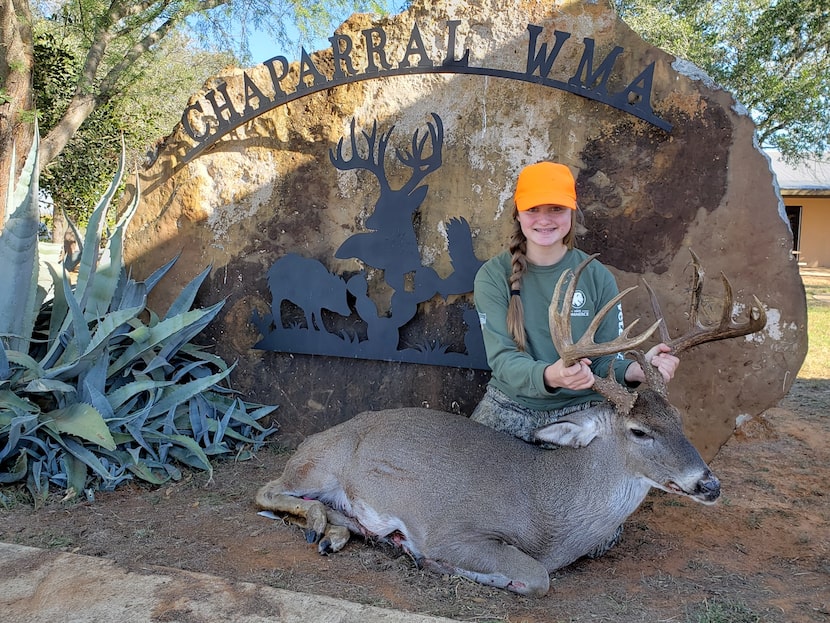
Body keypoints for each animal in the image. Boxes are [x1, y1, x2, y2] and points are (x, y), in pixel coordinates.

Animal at [256, 251, 772, 596]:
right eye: (639, 432)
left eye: (679, 419)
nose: (709, 484)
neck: (550, 513)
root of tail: (316, 439)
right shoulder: (451, 529)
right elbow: (536, 577)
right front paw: (431, 562)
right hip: (319, 463)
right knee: (268, 490)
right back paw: (327, 526)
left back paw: (339, 532)